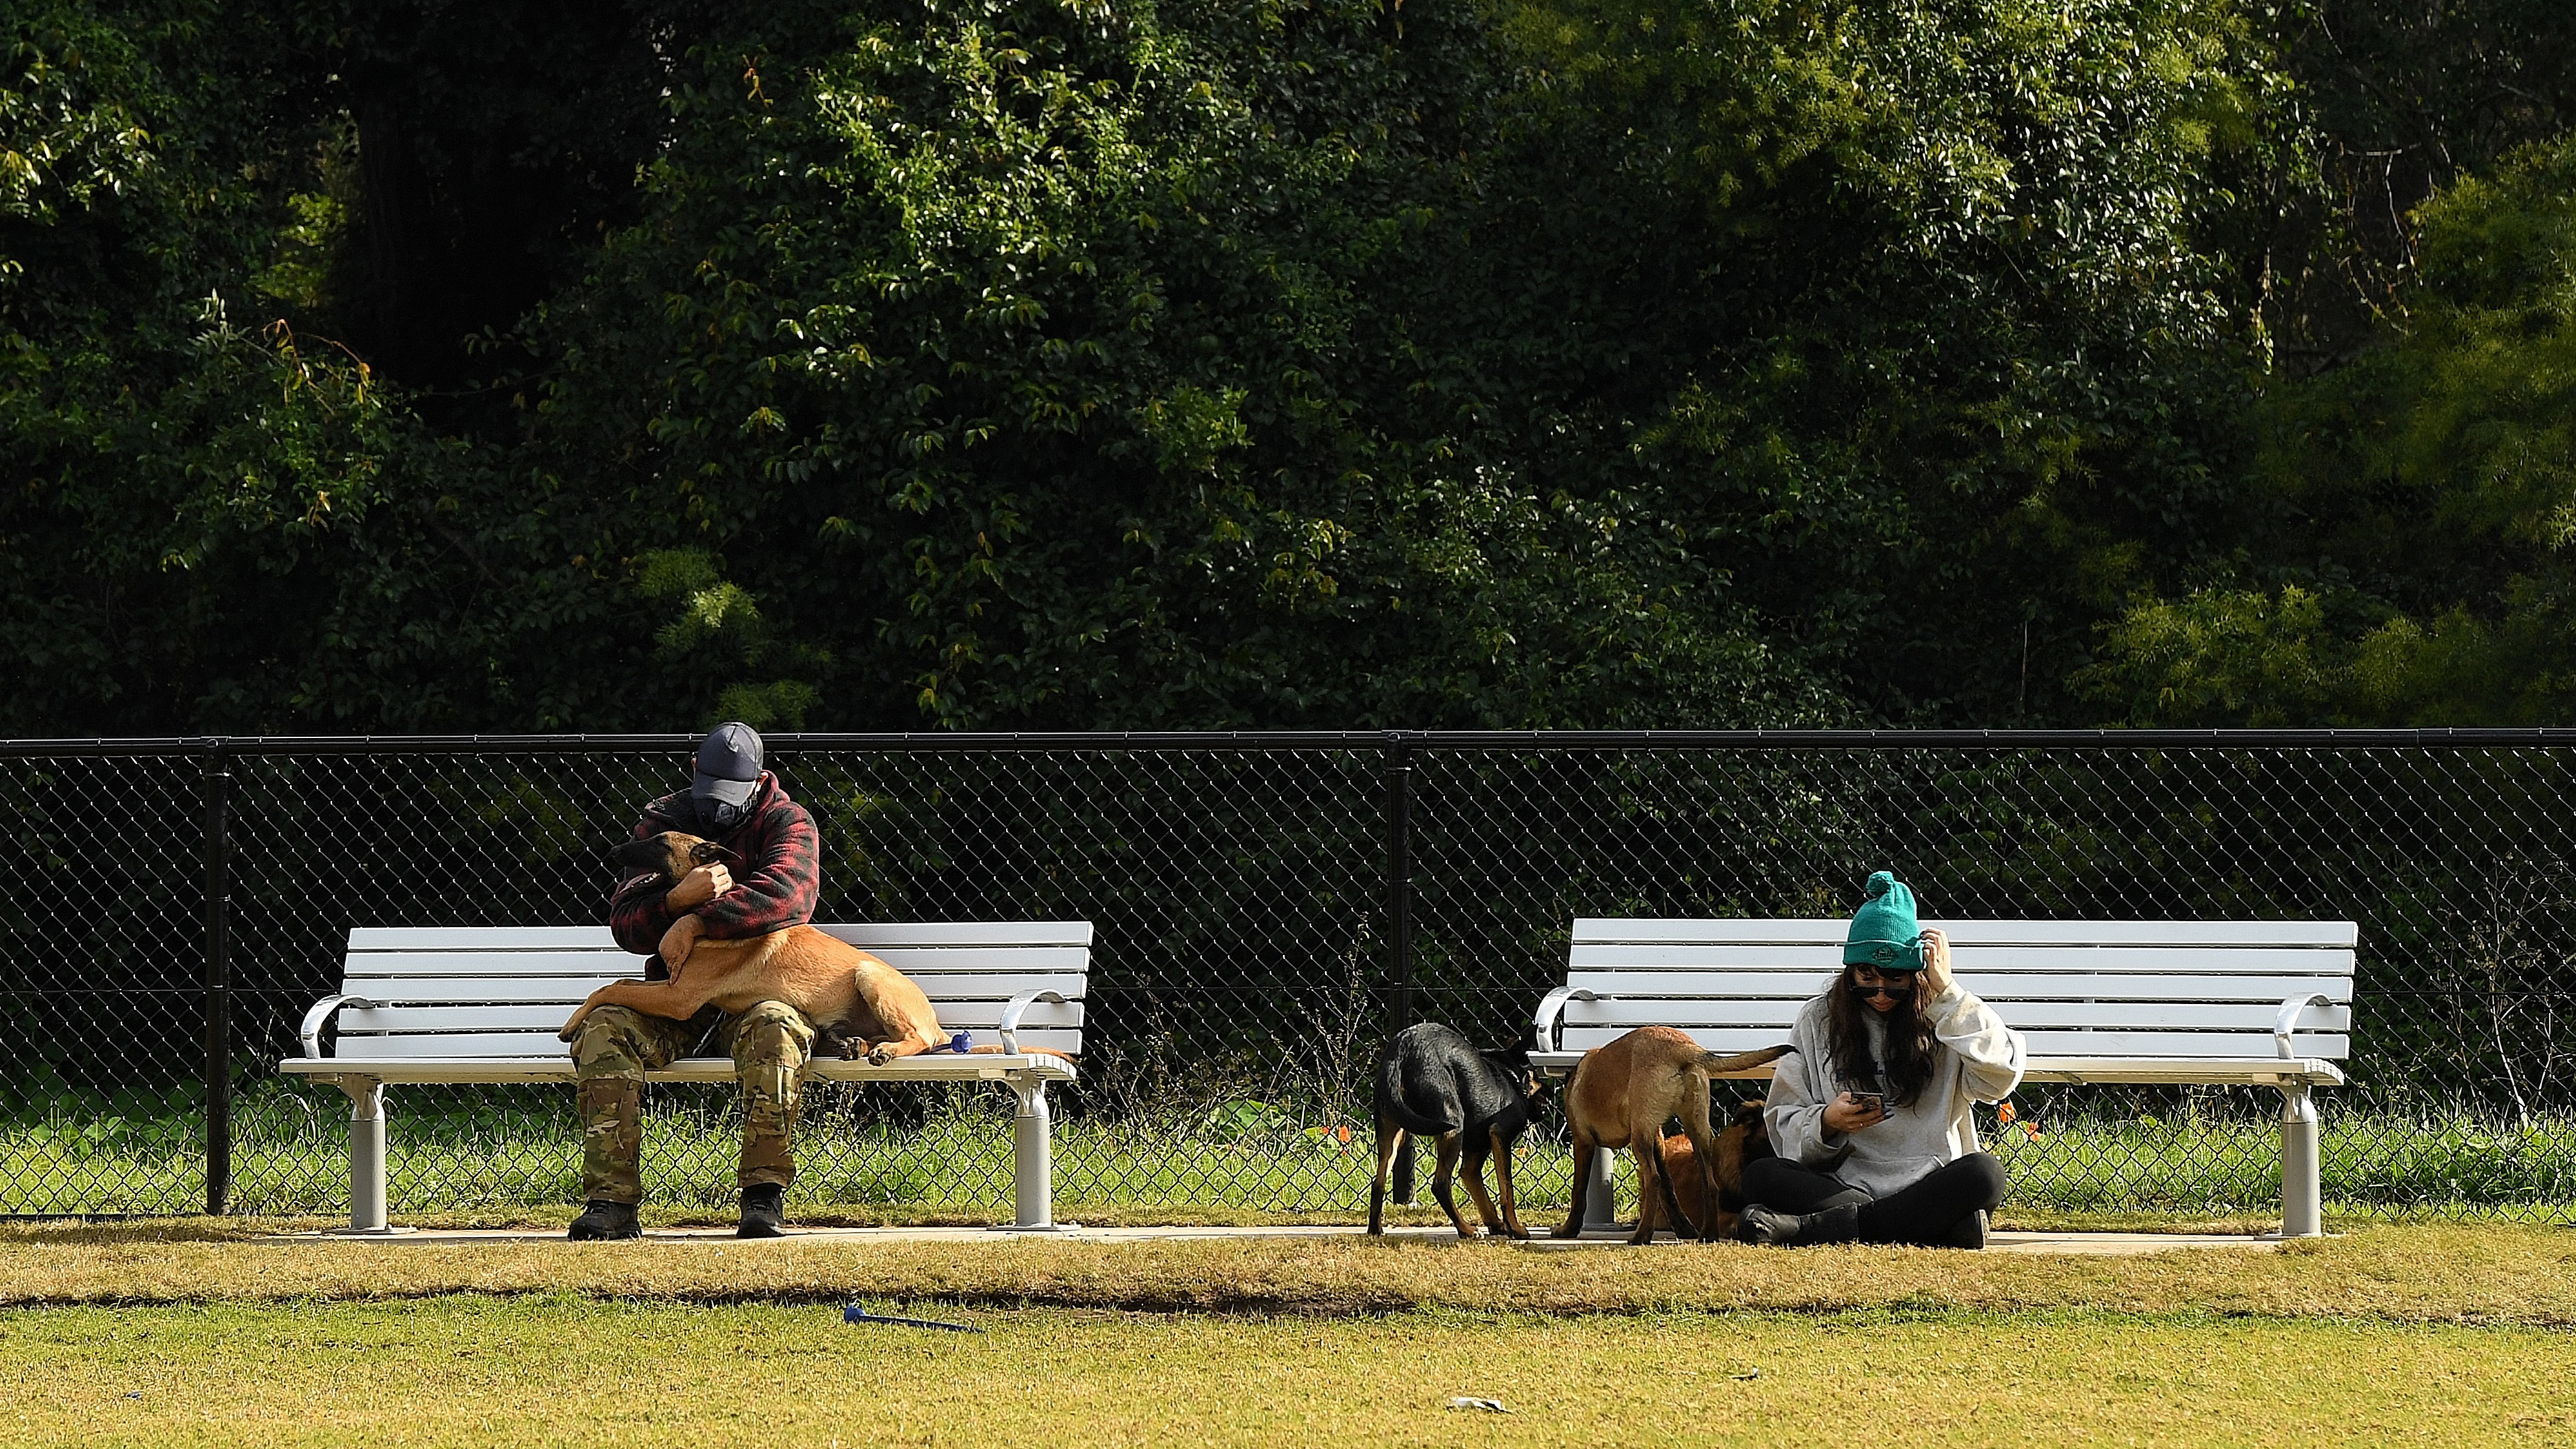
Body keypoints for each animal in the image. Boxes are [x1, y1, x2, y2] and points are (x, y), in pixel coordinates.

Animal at [564, 824, 1076, 1062]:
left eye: (658, 843)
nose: (612, 851)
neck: (709, 907)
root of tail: (941, 1029)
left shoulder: (678, 995)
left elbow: (610, 986)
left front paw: (570, 1023)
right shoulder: (672, 991)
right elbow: (616, 984)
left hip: (871, 977)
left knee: (915, 1038)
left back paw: (883, 1050)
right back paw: (854, 1043)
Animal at [1370, 1021, 1545, 1237]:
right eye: (1536, 1074)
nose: (1548, 1096)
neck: (1511, 1076)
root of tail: (1401, 1052)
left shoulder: (1475, 1154)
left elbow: (1480, 1190)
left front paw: (1497, 1225)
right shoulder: (1501, 1135)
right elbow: (1507, 1190)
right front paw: (1515, 1228)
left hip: (1392, 1132)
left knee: (1378, 1183)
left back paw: (1375, 1230)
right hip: (1452, 1126)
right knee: (1440, 1185)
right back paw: (1466, 1229)